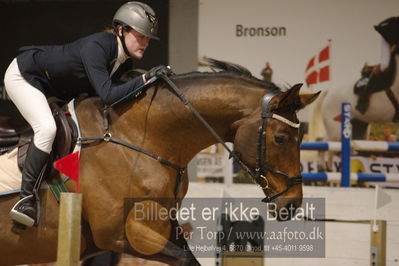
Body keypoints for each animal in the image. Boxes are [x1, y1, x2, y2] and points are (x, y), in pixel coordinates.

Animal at [0, 60, 318, 266]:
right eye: (280, 138)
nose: (292, 204)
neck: (140, 138)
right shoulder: (118, 235)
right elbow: (185, 261)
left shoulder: (165, 226)